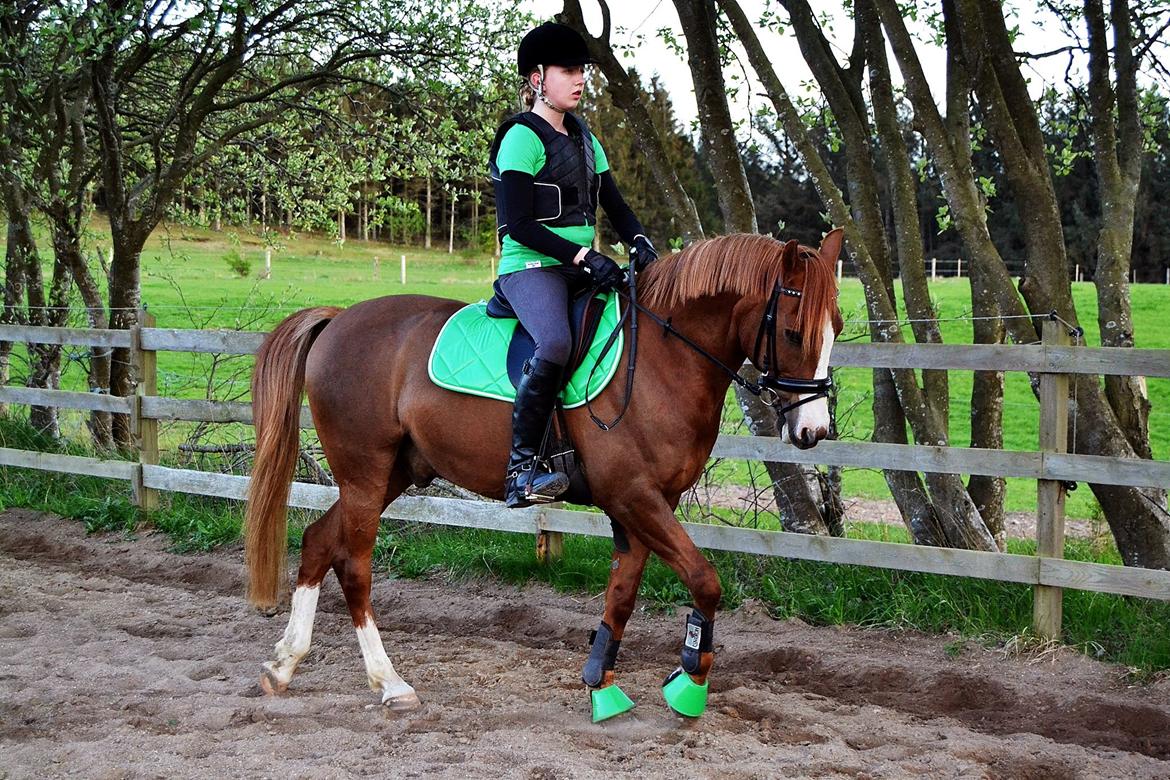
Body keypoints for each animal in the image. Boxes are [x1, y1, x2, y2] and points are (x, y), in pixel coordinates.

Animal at [244, 229, 843, 719]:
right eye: (794, 333)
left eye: (836, 327)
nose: (813, 430)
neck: (661, 360)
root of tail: (339, 319)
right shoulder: (634, 497)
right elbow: (704, 580)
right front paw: (690, 682)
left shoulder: (649, 505)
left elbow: (622, 595)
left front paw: (601, 685)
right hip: (365, 474)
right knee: (355, 567)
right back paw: (390, 684)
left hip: (390, 474)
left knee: (318, 541)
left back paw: (283, 665)